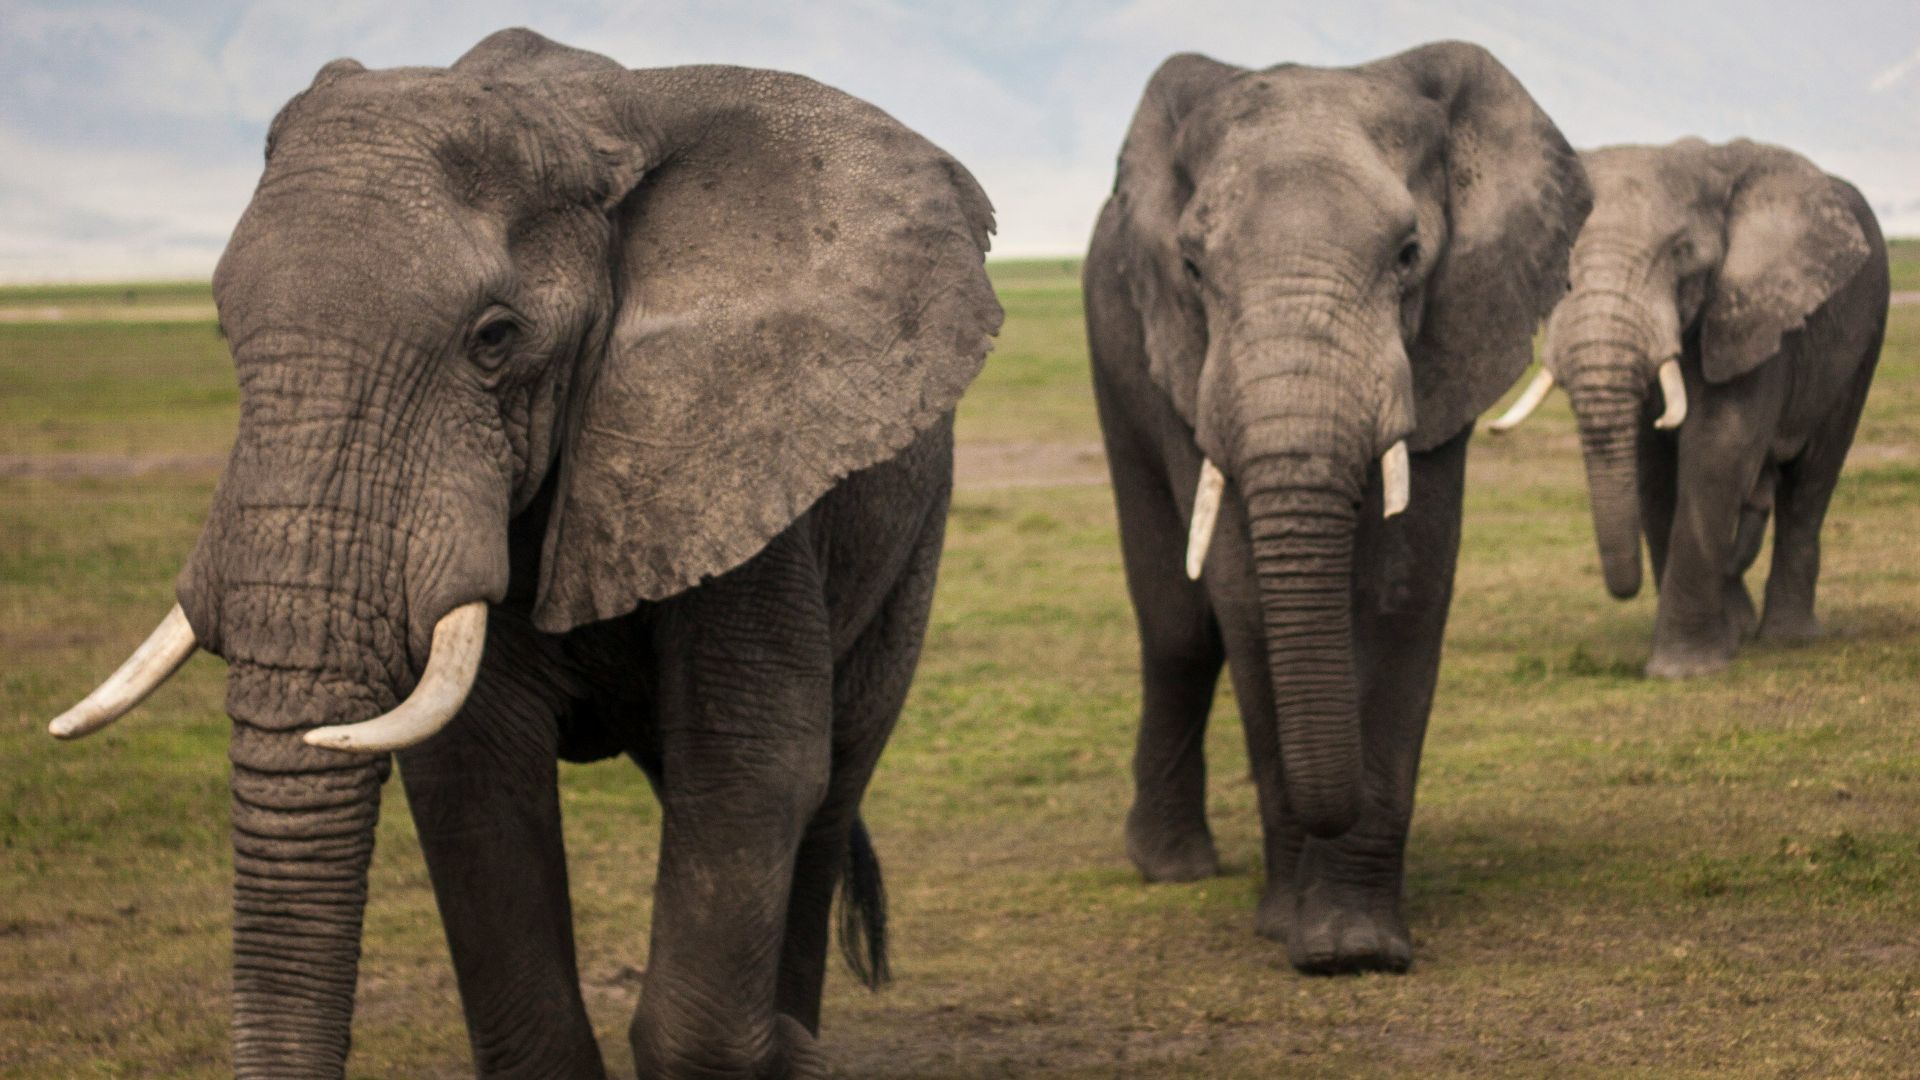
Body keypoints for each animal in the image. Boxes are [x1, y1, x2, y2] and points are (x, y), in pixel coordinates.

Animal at [45, 29, 1001, 1079]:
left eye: (495, 338)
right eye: (221, 325)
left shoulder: (746, 450)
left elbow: (755, 765)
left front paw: (776, 1050)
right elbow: (475, 777)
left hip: (914, 537)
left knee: (833, 782)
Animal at [1084, 42, 1591, 973]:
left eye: (1409, 254)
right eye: (1192, 268)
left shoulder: (1447, 340)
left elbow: (1403, 588)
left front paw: (1353, 947)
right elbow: (1244, 596)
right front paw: (1293, 930)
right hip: (1114, 346)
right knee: (1178, 626)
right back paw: (1171, 868)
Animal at [1487, 139, 1888, 678]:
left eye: (1680, 254)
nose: (1625, 588)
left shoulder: (1752, 313)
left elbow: (1719, 447)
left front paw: (1683, 670)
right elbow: (1653, 469)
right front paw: (1718, 644)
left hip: (1865, 337)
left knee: (1813, 479)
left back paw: (1788, 637)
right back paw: (1742, 627)